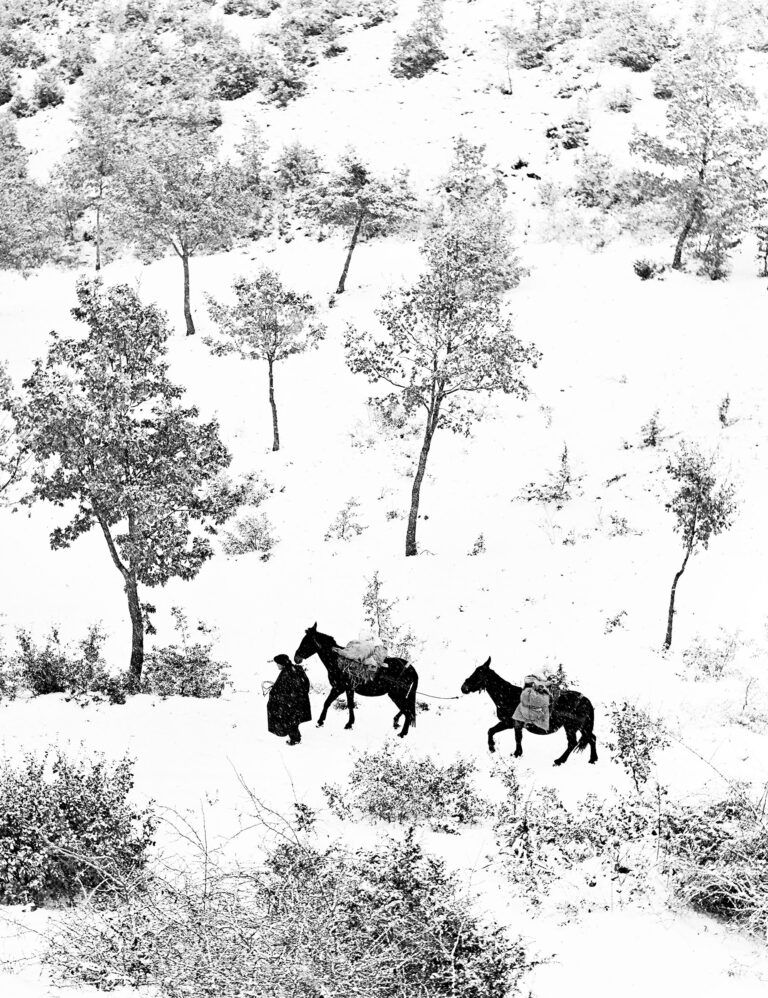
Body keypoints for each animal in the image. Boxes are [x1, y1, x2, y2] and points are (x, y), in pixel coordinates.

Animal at [460, 660, 596, 768]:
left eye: (479, 673)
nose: (463, 688)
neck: (506, 696)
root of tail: (585, 700)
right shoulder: (508, 723)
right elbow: (491, 730)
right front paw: (492, 748)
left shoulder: (514, 723)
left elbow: (517, 737)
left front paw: (516, 753)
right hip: (581, 727)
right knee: (591, 738)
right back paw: (592, 759)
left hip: (571, 726)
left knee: (573, 742)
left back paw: (559, 761)